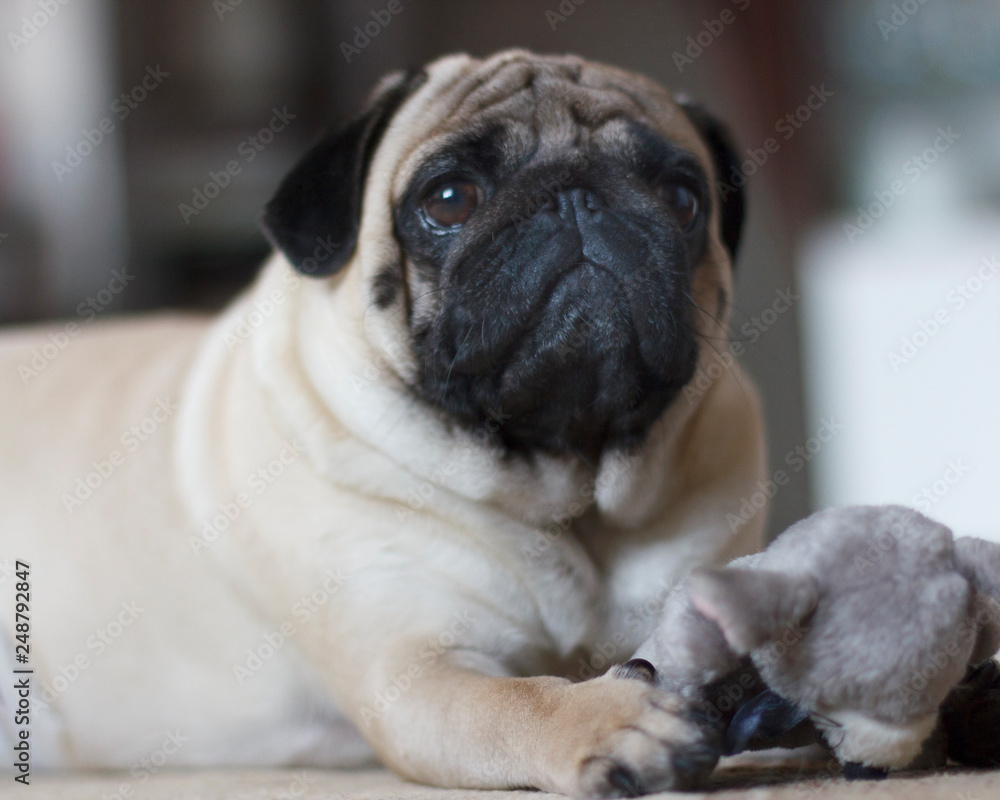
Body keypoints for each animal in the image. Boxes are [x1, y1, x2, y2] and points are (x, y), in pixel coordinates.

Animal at [0, 50, 764, 792]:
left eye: (682, 199)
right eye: (449, 199)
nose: (576, 198)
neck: (564, 487)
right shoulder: (412, 673)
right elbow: (516, 700)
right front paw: (609, 721)